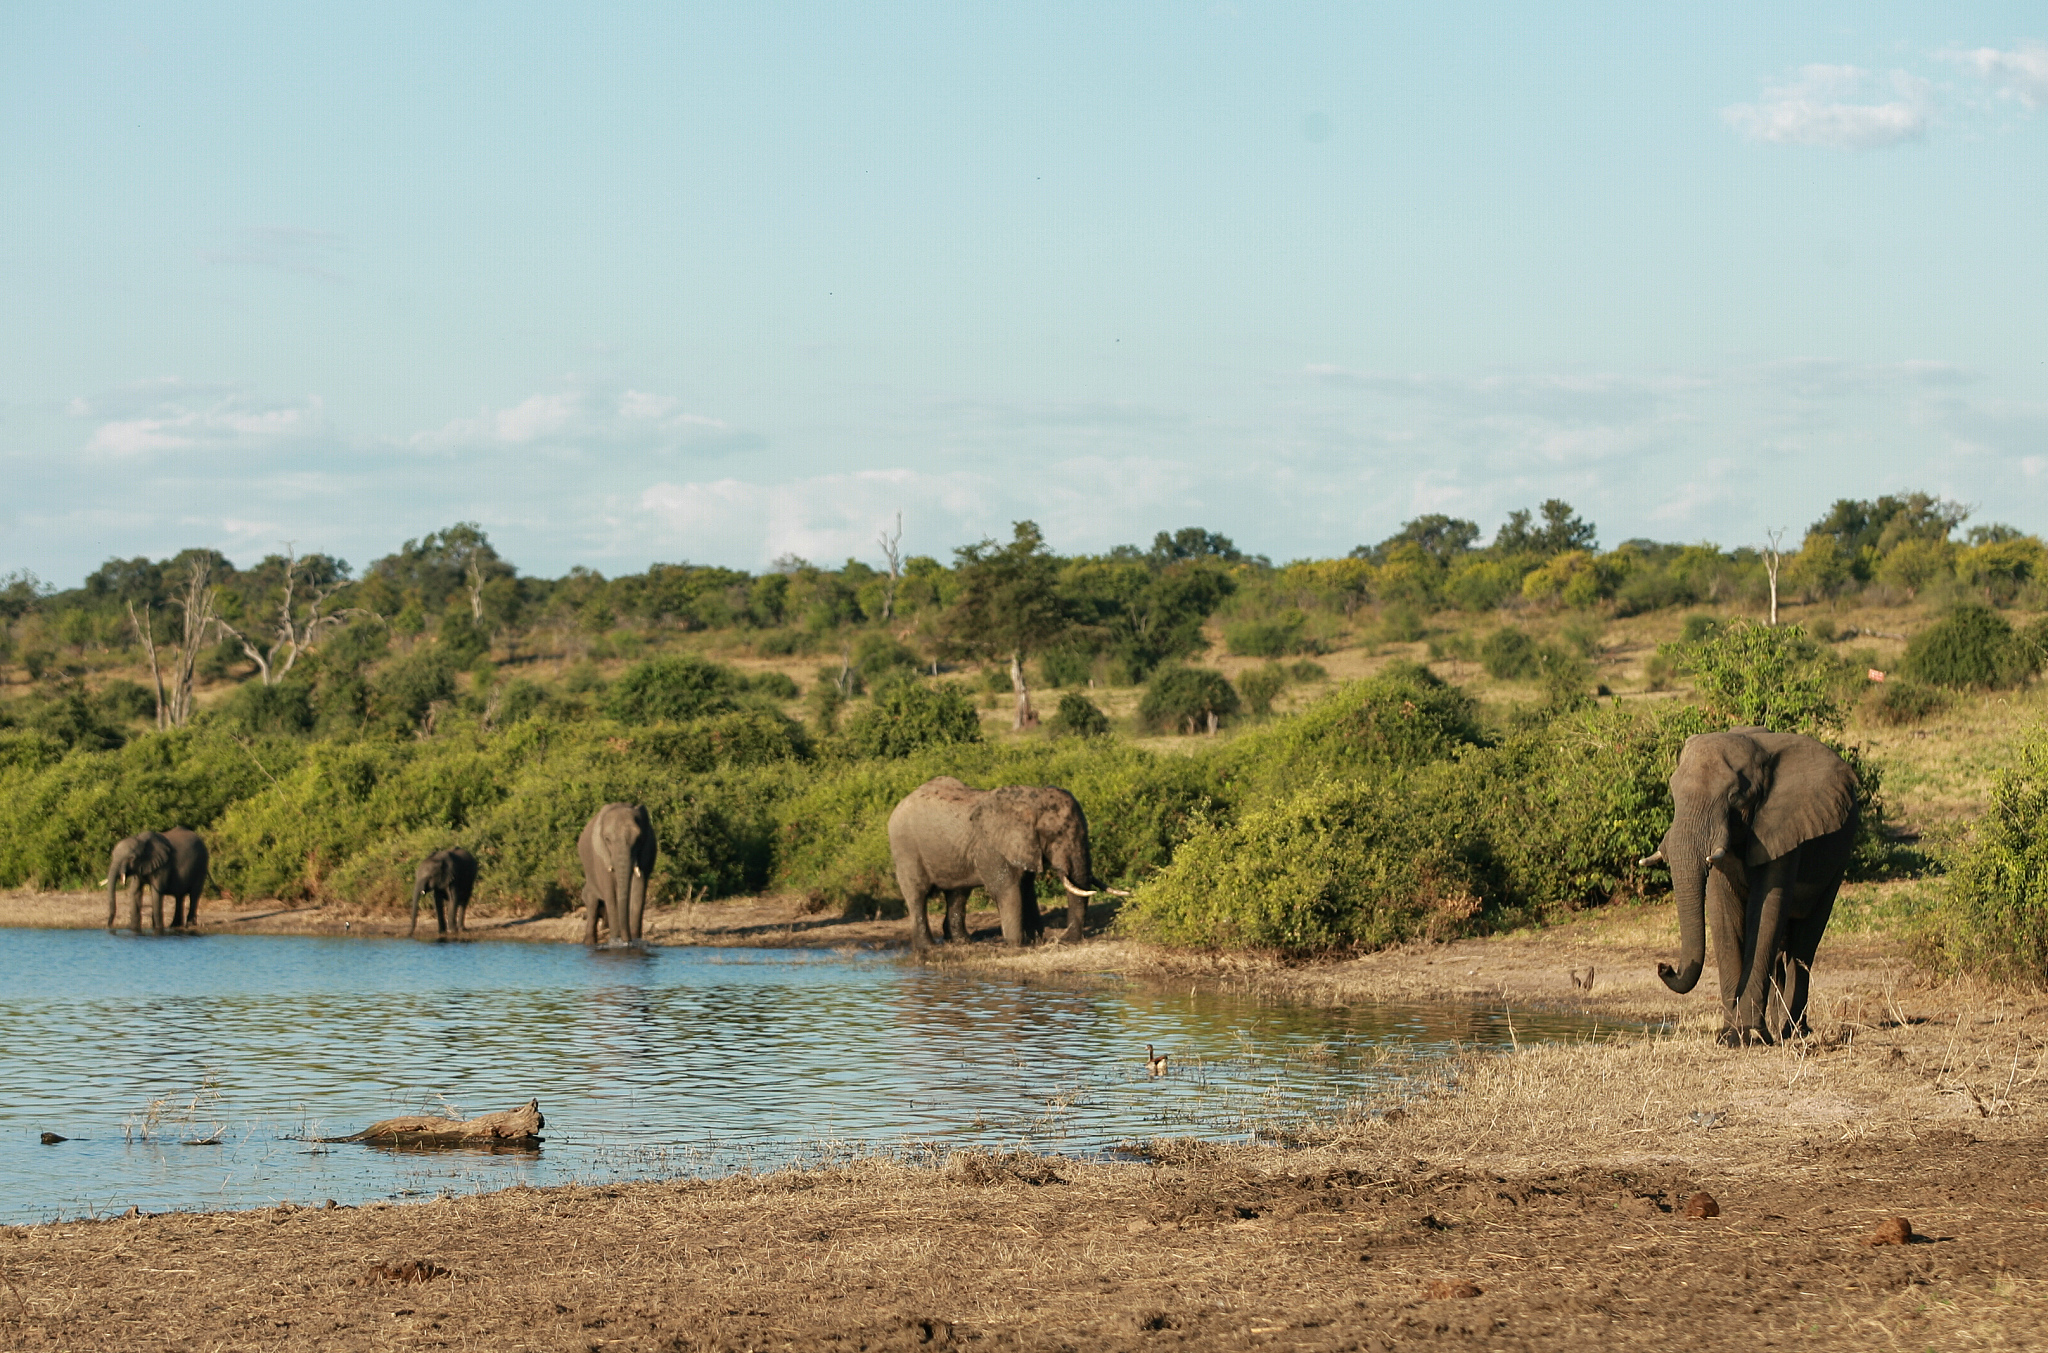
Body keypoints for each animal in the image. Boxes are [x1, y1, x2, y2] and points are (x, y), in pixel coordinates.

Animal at [577, 803, 655, 944]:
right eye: (607, 839)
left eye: (639, 839)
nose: (627, 940)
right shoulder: (600, 856)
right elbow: (610, 893)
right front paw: (615, 941)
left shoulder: (647, 851)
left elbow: (638, 889)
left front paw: (635, 940)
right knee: (592, 903)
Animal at [887, 776, 1112, 951]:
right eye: (1056, 835)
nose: (1066, 939)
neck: (1032, 799)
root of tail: (900, 804)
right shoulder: (992, 847)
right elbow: (1007, 889)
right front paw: (1017, 945)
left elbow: (1026, 889)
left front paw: (1035, 940)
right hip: (905, 848)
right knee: (918, 894)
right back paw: (927, 947)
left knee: (958, 893)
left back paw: (963, 942)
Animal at [1640, 728, 1858, 1045]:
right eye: (1672, 792)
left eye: (1735, 797)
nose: (1663, 966)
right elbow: (1723, 912)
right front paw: (1729, 1036)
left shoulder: (1784, 824)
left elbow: (1766, 911)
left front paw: (1748, 1035)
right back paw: (1782, 1029)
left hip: (1838, 859)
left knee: (1804, 944)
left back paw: (1794, 1032)